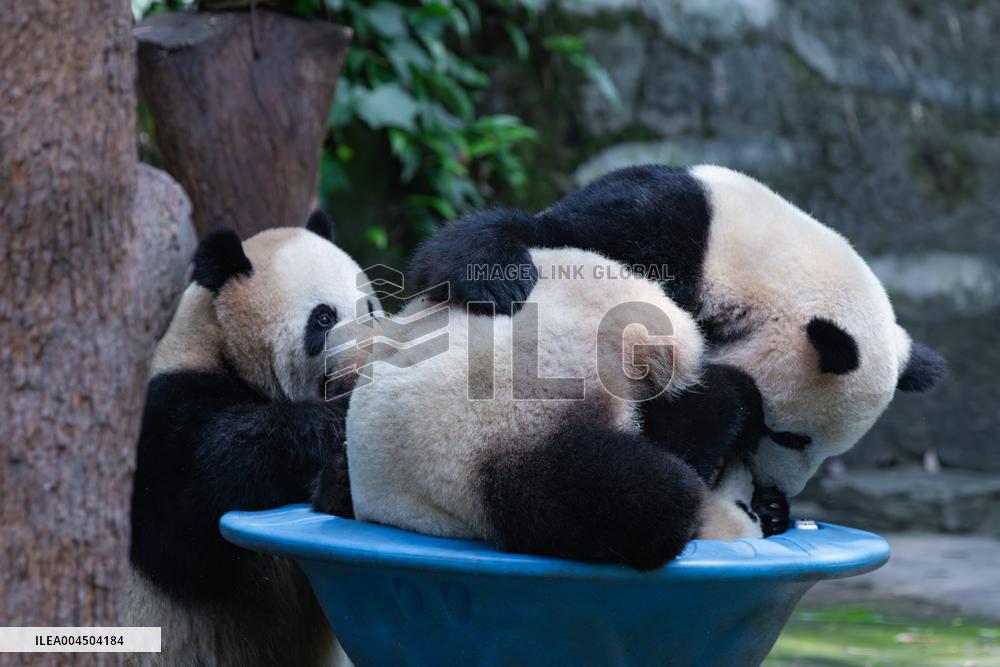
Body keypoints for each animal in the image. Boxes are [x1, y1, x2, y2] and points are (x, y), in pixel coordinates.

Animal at [126, 212, 376, 666]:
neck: (221, 344)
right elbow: (217, 468)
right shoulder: (165, 416)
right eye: (323, 318)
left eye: (369, 307)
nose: (369, 361)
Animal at [335, 165, 943, 567]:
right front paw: (494, 276)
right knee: (631, 496)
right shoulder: (663, 225)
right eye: (789, 436)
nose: (774, 487)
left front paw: (771, 508)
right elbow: (543, 232)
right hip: (495, 447)